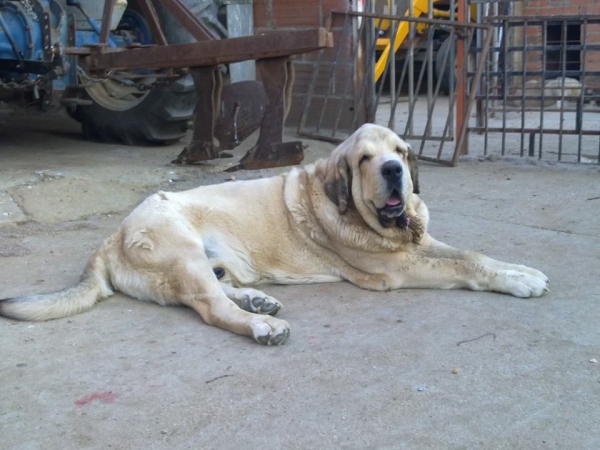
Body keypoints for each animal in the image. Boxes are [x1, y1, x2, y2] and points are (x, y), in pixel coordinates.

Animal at [0, 123, 548, 344]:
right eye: (365, 160)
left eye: (400, 150)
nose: (396, 171)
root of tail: (110, 238)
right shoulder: (397, 267)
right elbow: (467, 265)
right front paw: (518, 280)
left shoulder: (420, 245)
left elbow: (472, 253)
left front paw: (519, 270)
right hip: (182, 251)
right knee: (211, 307)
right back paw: (261, 325)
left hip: (204, 262)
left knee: (216, 289)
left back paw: (257, 301)